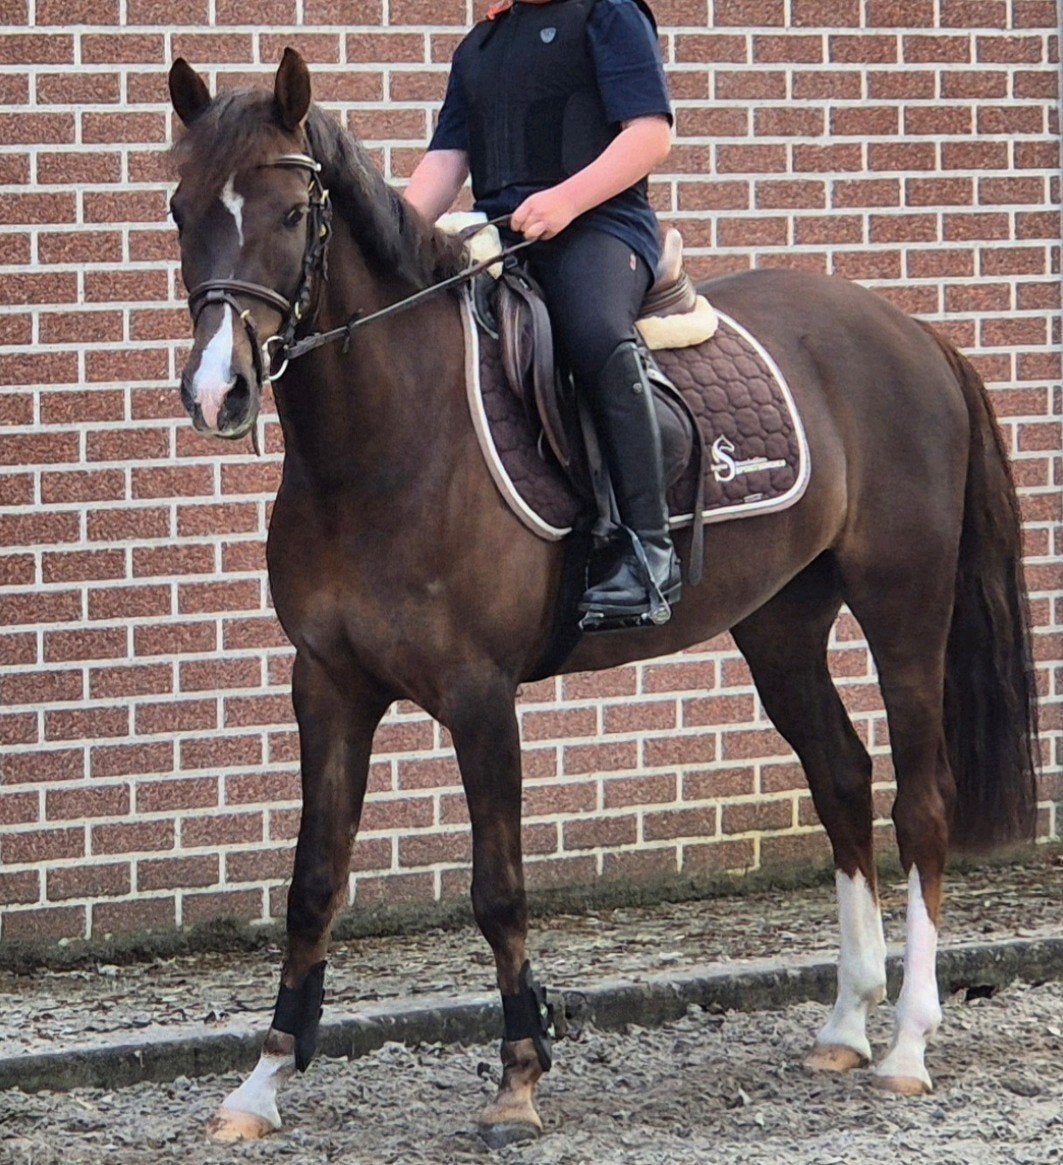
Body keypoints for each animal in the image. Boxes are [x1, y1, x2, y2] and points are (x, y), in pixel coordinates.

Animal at [166, 49, 1038, 1145]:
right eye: (181, 209)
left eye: (289, 212)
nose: (216, 390)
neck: (383, 446)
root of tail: (912, 332)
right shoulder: (327, 684)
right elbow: (312, 881)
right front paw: (262, 1080)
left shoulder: (478, 693)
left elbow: (497, 888)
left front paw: (518, 1077)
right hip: (782, 620)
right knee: (839, 776)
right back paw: (845, 1023)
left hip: (903, 605)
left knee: (920, 800)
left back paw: (909, 1044)